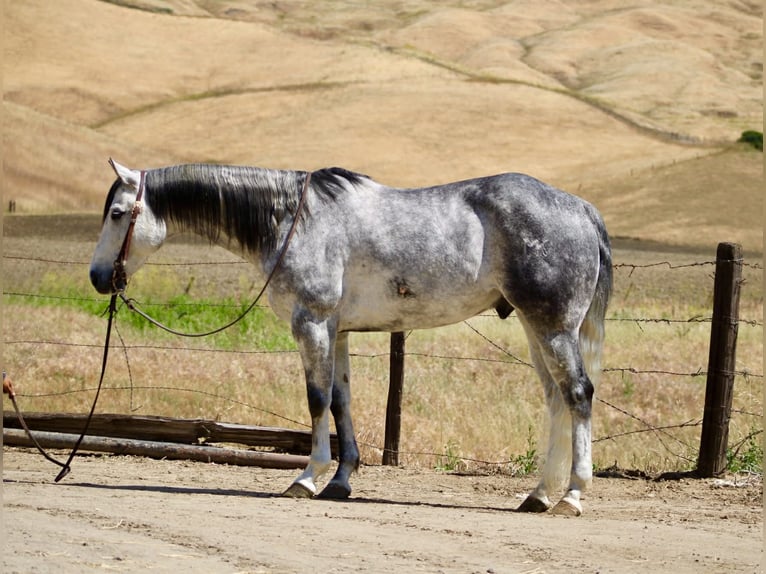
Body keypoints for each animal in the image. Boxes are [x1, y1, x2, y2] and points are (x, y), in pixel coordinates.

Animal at [90, 159, 612, 516]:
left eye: (117, 212)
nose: (98, 278)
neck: (293, 219)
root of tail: (582, 209)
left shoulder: (311, 323)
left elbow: (317, 399)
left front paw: (307, 477)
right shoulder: (336, 331)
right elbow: (341, 403)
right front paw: (341, 481)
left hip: (553, 327)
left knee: (577, 394)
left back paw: (572, 494)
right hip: (534, 327)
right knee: (556, 399)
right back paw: (538, 494)